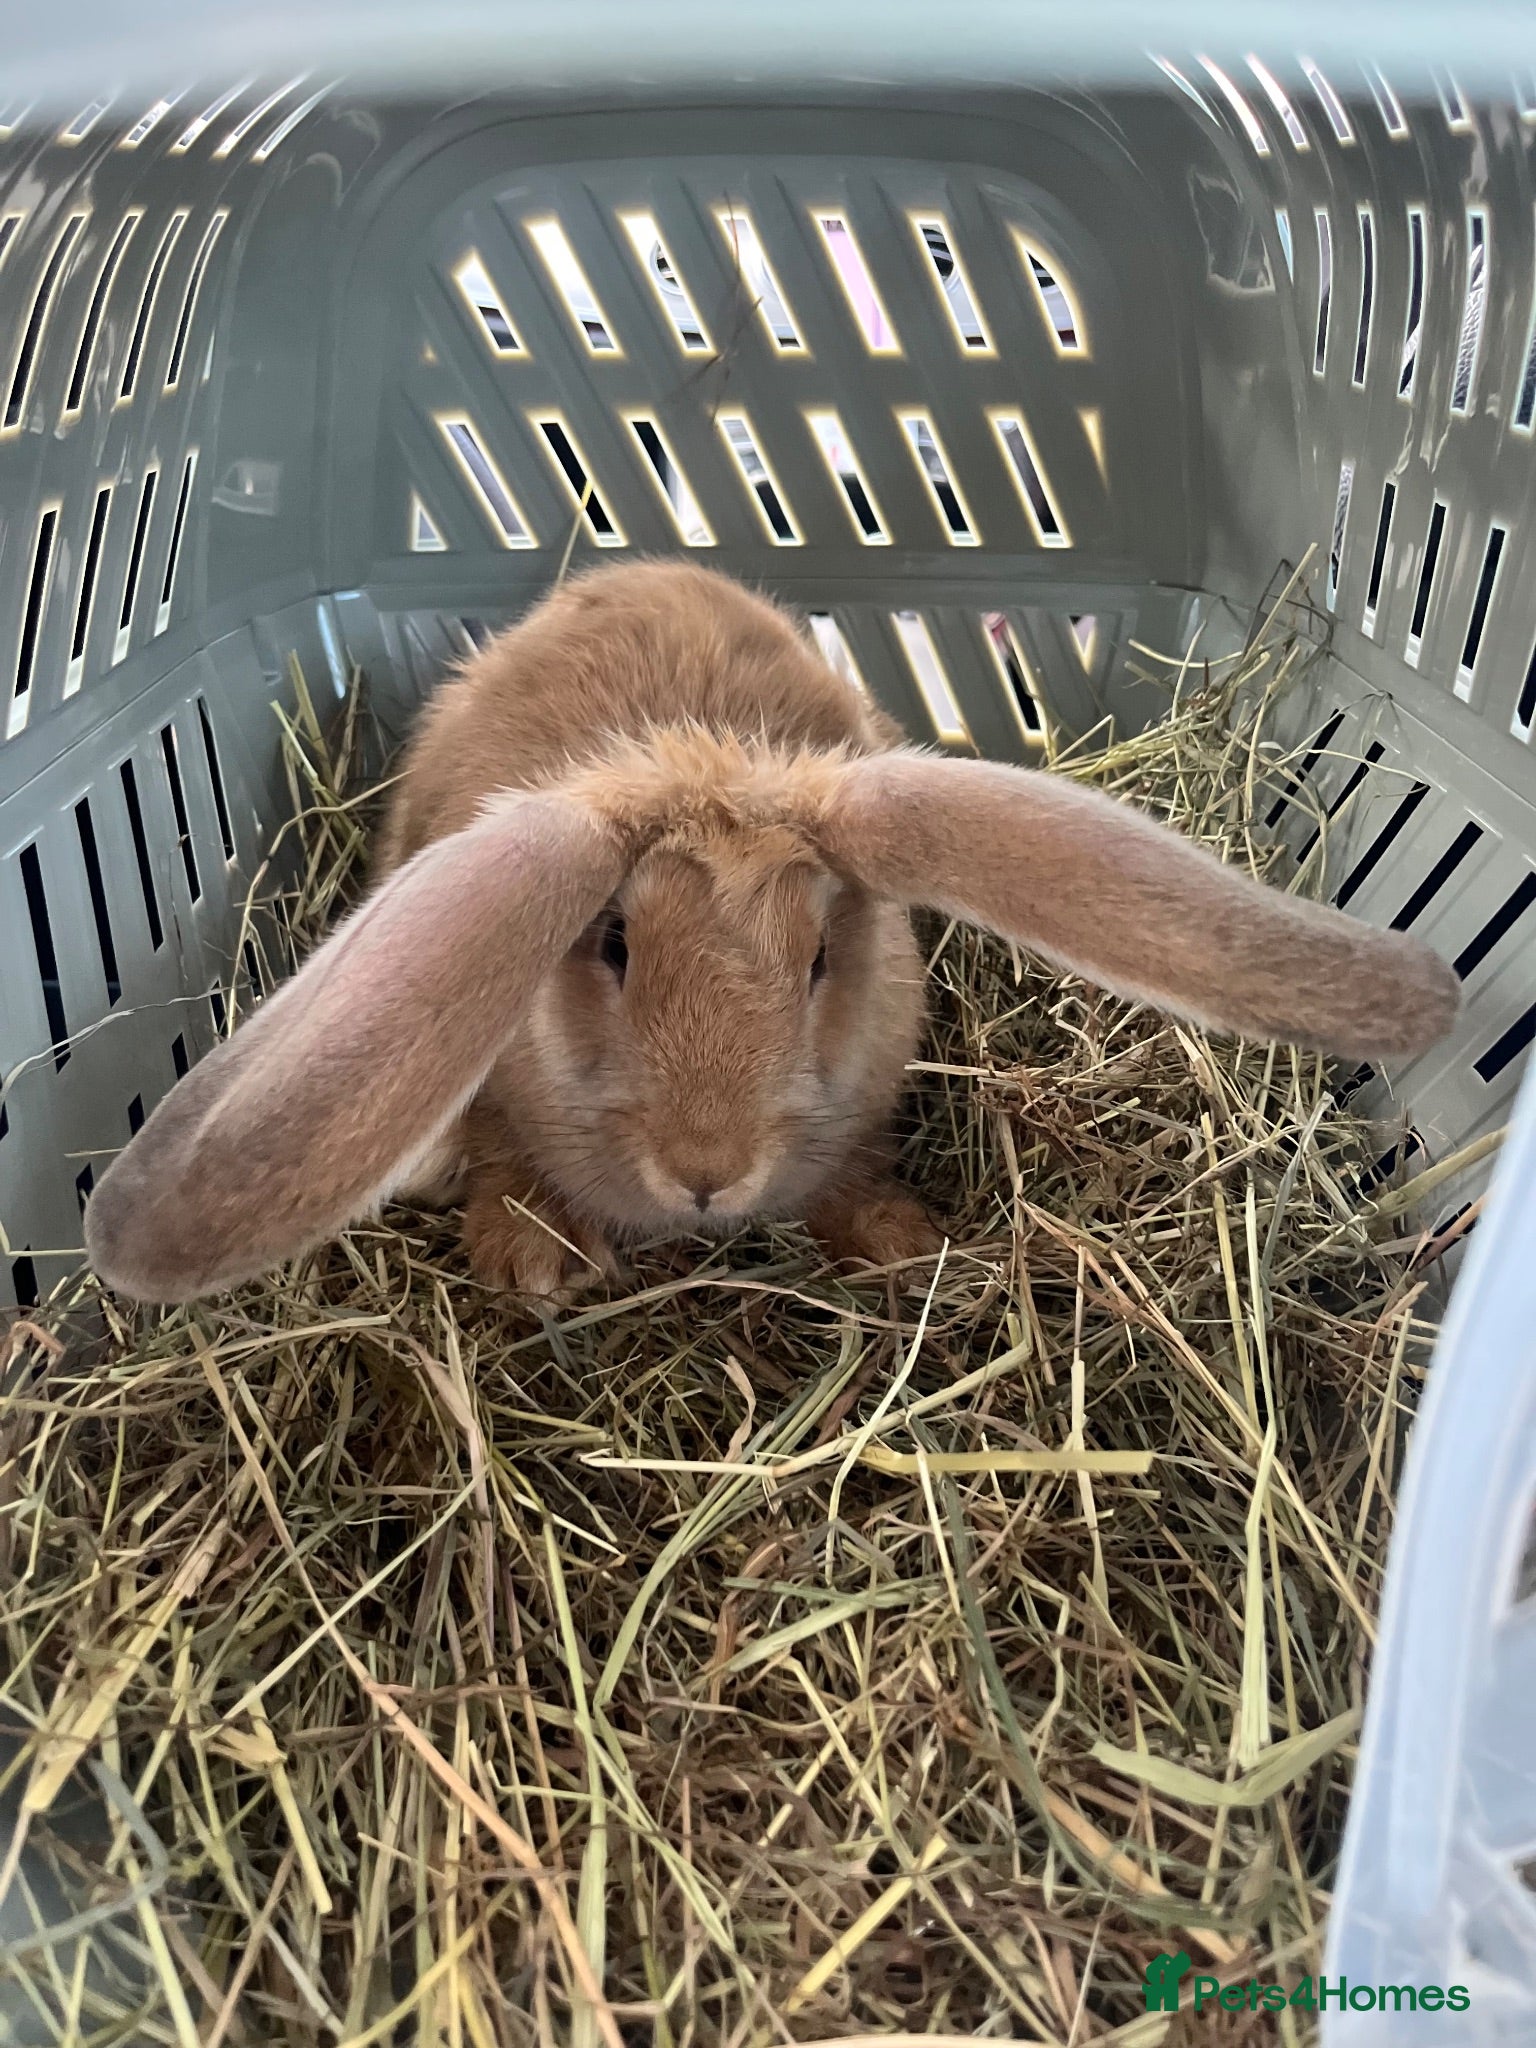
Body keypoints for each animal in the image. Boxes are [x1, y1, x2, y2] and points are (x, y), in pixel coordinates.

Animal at [84, 560, 1462, 1304]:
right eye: (611, 944)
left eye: (818, 962)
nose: (709, 1170)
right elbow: (503, 1163)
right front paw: (537, 1266)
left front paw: (905, 1245)